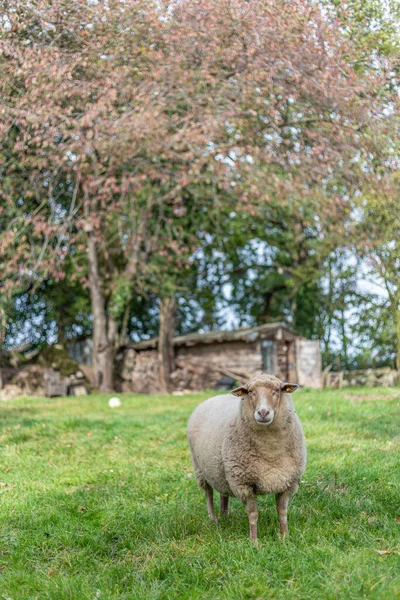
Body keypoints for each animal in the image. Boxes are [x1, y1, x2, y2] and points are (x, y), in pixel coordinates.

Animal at [188, 372, 306, 548]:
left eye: (277, 390)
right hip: (200, 469)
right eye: (250, 392)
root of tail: (214, 397)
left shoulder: (288, 482)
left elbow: (282, 512)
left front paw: (285, 538)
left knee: (223, 493)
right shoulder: (244, 484)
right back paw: (214, 519)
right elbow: (253, 514)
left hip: (222, 470)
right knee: (208, 493)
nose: (263, 413)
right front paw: (254, 542)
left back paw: (225, 516)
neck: (271, 451)